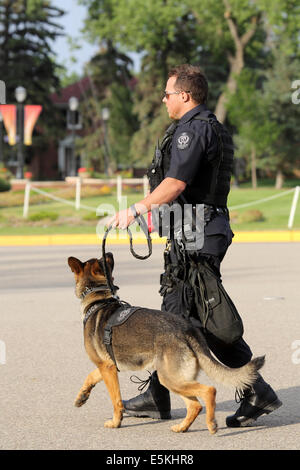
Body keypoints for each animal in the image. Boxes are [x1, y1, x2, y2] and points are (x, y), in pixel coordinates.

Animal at [68, 253, 264, 434]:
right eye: (104, 260)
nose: (108, 253)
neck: (99, 299)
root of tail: (187, 329)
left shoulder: (108, 369)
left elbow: (116, 400)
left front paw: (116, 422)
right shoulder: (107, 366)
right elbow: (91, 376)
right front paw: (82, 396)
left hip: (170, 378)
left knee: (209, 391)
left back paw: (211, 423)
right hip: (174, 378)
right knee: (195, 405)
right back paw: (182, 427)